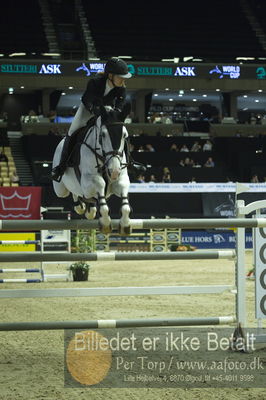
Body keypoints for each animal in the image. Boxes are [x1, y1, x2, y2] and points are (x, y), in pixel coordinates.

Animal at [51, 104, 131, 234]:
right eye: (103, 135)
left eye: (124, 135)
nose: (114, 171)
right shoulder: (88, 183)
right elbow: (100, 184)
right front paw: (105, 223)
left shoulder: (120, 180)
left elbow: (125, 205)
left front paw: (125, 225)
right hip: (60, 190)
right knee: (72, 193)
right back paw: (80, 206)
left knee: (87, 199)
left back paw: (88, 209)